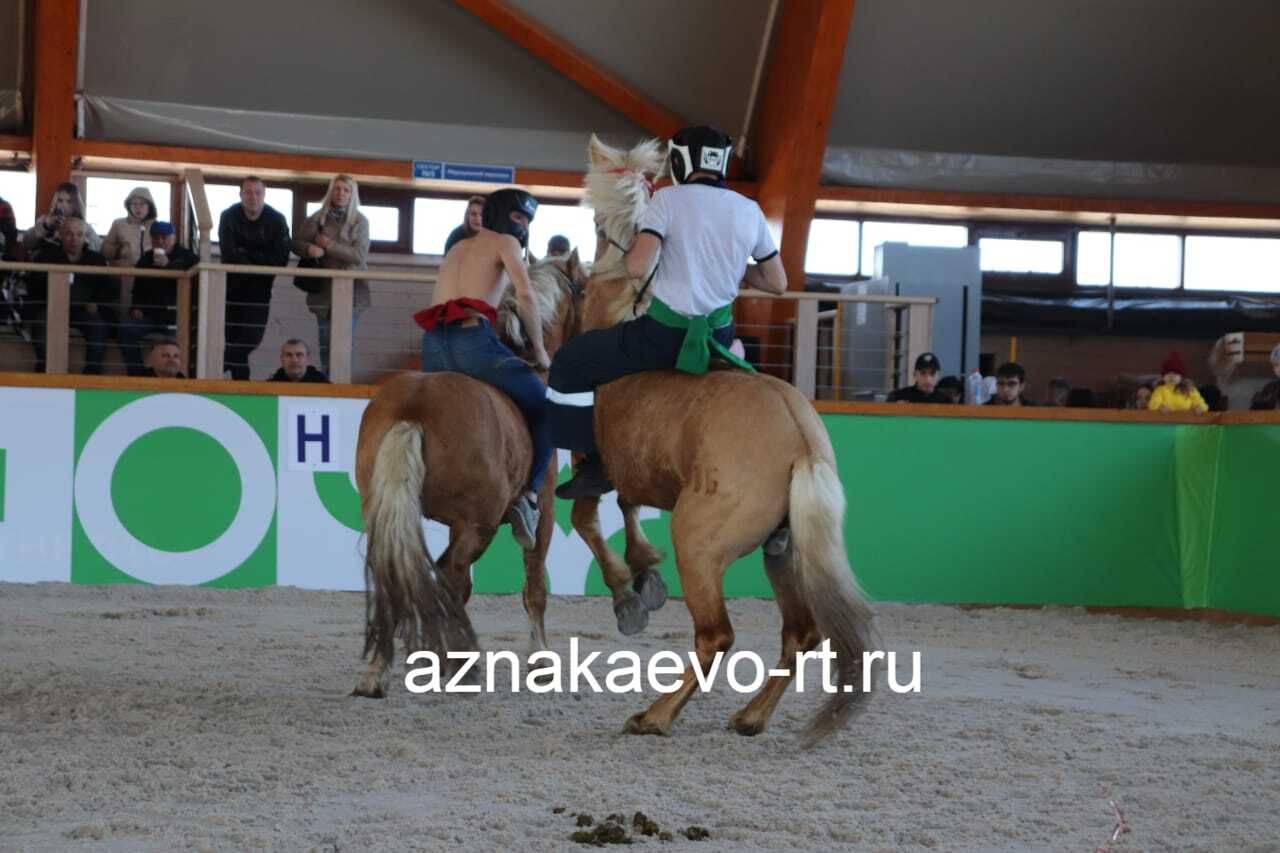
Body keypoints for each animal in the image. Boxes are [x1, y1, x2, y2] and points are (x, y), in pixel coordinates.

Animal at [353, 249, 586, 696]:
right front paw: (540, 659)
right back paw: (455, 662)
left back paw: (378, 671)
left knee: (399, 576)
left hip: (392, 514)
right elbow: (535, 586)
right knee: (449, 578)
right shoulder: (545, 513)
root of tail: (415, 405)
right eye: (584, 290)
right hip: (479, 525)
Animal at [570, 136, 880, 742]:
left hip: (699, 544)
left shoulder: (599, 461)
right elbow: (625, 509)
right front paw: (642, 570)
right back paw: (751, 715)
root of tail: (800, 438)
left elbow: (589, 517)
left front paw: (630, 589)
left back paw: (656, 714)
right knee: (800, 633)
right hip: (784, 553)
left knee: (716, 635)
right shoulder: (639, 472)